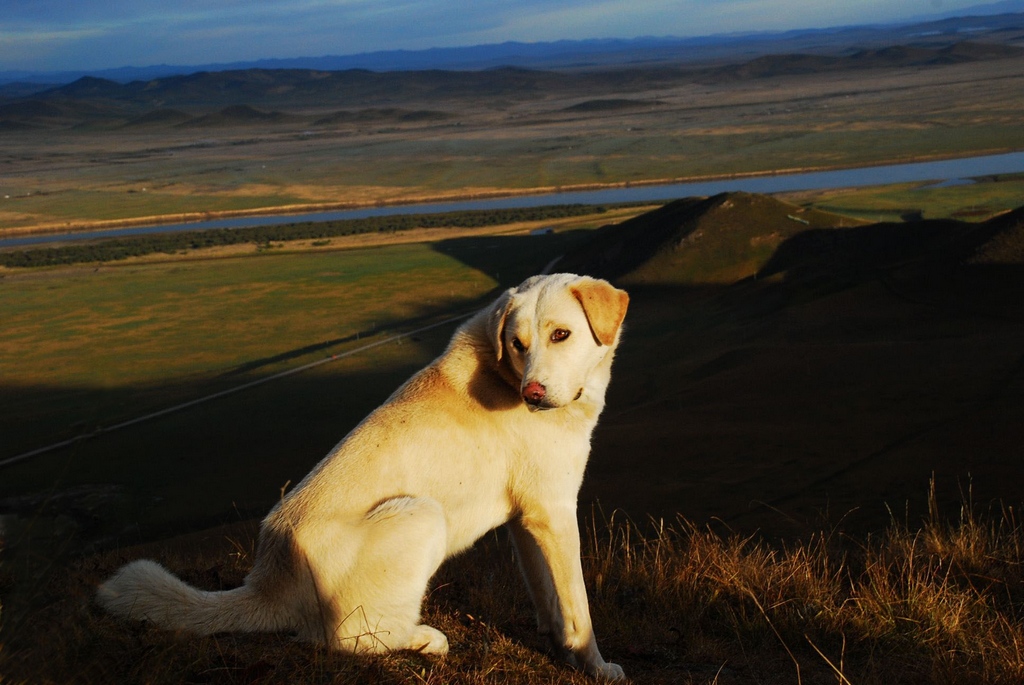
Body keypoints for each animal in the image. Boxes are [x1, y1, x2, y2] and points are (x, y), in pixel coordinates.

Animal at [97, 270, 622, 679]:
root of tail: (268, 583)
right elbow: (578, 607)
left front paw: (558, 645)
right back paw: (424, 639)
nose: (533, 394)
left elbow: (548, 596)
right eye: (518, 344)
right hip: (421, 513)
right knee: (340, 639)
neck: (506, 378)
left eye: (561, 335)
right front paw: (594, 665)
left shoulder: (525, 520)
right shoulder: (553, 515)